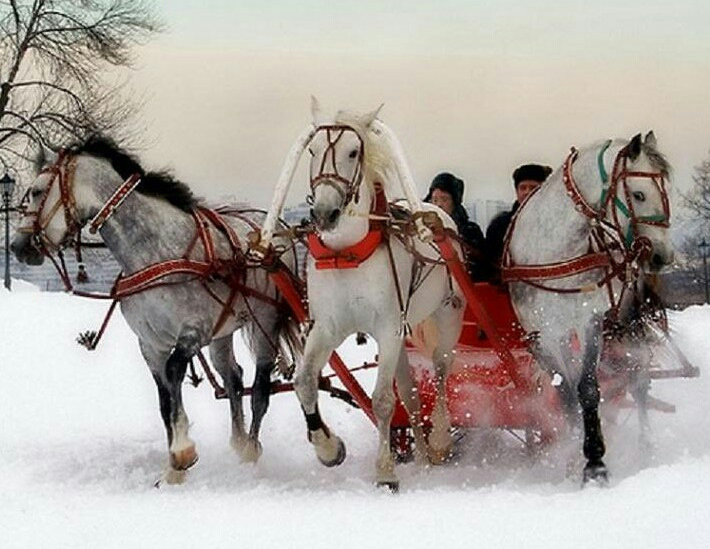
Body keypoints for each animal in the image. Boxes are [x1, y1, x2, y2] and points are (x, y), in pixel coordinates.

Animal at [256, 100, 468, 490]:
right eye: (313, 150)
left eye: (354, 152)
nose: (324, 213)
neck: (347, 253)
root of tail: (437, 213)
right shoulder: (327, 327)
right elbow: (305, 382)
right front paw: (328, 448)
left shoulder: (387, 327)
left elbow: (382, 400)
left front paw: (385, 471)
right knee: (411, 395)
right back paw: (420, 455)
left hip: (446, 314)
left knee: (442, 370)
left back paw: (439, 439)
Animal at [506, 133, 672, 484]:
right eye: (639, 194)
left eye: (666, 192)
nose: (662, 256)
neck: (556, 252)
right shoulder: (543, 334)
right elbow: (566, 396)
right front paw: (571, 457)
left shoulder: (589, 323)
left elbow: (588, 389)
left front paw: (595, 463)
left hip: (627, 321)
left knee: (638, 379)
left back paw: (646, 446)